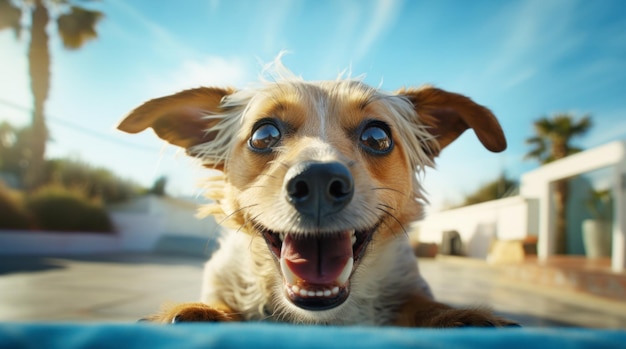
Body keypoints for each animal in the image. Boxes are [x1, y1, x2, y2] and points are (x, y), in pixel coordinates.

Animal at [116, 60, 512, 326]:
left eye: (377, 136)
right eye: (263, 134)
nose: (319, 182)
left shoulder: (409, 287)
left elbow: (421, 306)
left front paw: (460, 317)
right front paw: (197, 313)